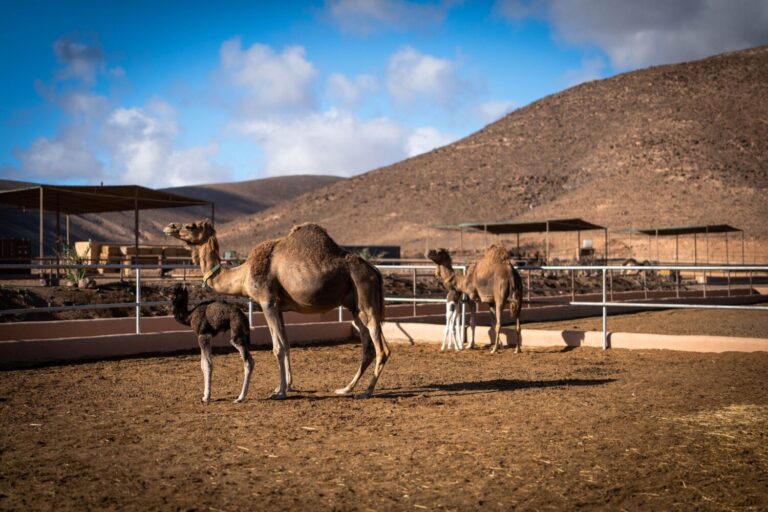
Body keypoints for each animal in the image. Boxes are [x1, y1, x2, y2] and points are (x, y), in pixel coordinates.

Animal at [163, 219, 390, 399]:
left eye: (191, 226)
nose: (170, 227)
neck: (244, 274)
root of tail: (375, 272)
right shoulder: (279, 307)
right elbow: (287, 344)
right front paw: (286, 385)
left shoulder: (267, 302)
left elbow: (277, 347)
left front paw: (279, 392)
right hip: (354, 307)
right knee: (367, 346)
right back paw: (346, 388)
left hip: (366, 299)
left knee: (382, 348)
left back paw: (366, 391)